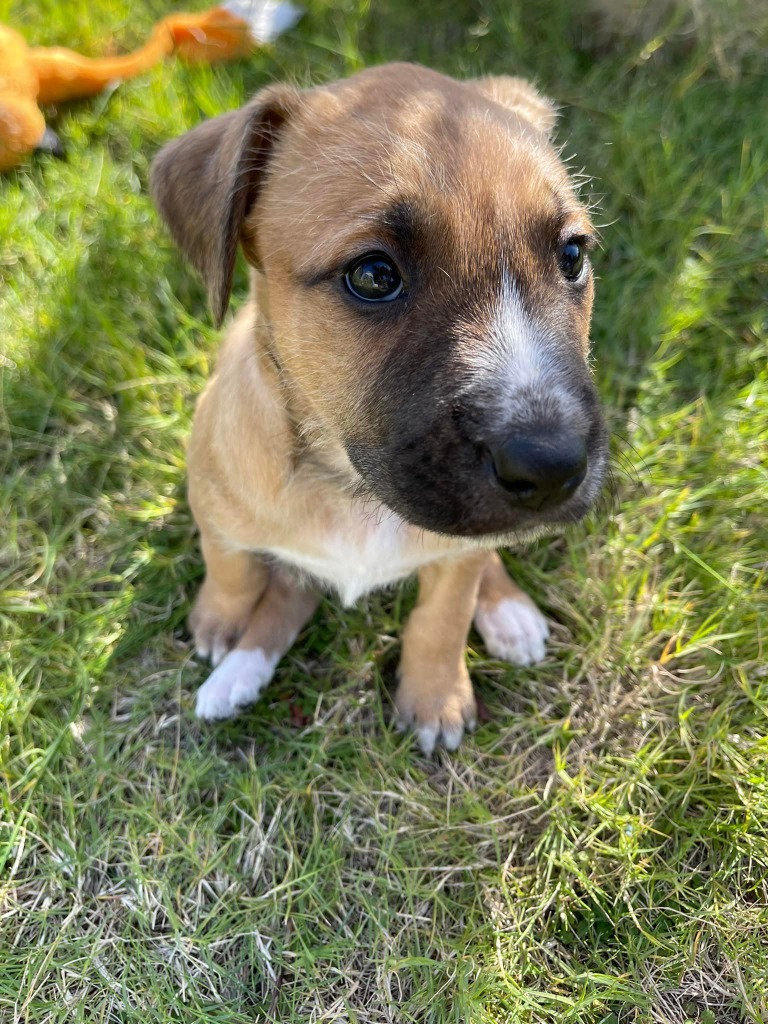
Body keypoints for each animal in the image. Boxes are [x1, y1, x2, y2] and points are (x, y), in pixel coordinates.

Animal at [150, 62, 607, 754]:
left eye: (572, 256)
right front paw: (219, 621)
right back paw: (237, 675)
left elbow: (441, 617)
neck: (347, 486)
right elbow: (232, 568)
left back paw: (508, 613)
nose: (555, 467)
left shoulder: (456, 553)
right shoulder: (213, 506)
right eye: (372, 276)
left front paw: (434, 697)